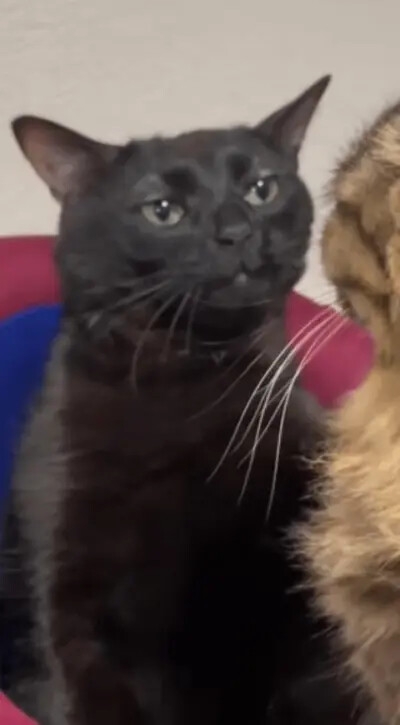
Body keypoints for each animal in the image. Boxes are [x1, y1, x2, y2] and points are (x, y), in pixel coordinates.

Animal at [1, 76, 364, 725]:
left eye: (262, 188)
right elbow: (86, 694)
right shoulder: (64, 601)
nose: (238, 231)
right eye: (163, 210)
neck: (186, 376)